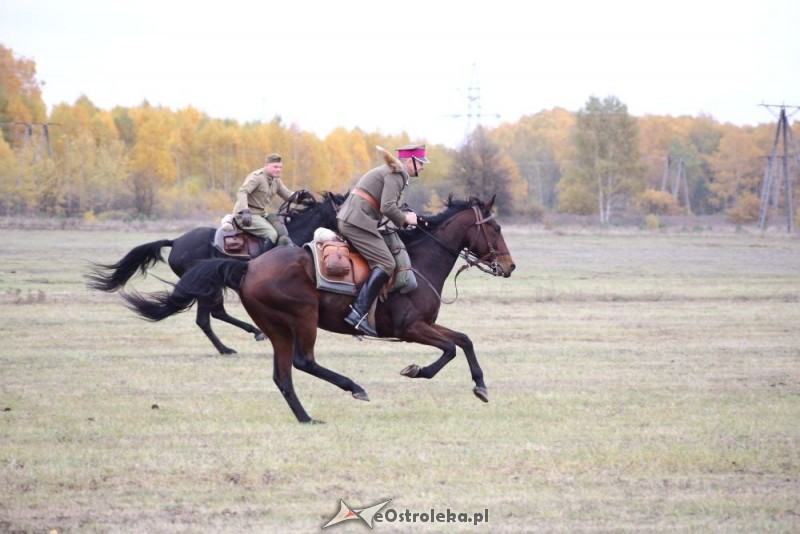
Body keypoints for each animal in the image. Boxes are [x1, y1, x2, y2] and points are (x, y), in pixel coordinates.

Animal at [86, 193, 346, 356]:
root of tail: (176, 241)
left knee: (213, 315)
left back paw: (240, 340)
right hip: (207, 287)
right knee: (208, 317)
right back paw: (234, 344)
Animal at [122, 196, 516, 422]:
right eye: (496, 227)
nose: (509, 266)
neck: (420, 261)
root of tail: (249, 266)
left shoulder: (425, 326)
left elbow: (463, 340)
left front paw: (480, 385)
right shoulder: (410, 329)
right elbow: (450, 348)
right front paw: (417, 370)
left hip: (278, 326)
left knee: (281, 373)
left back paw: (305, 417)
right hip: (303, 318)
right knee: (302, 361)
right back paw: (353, 386)